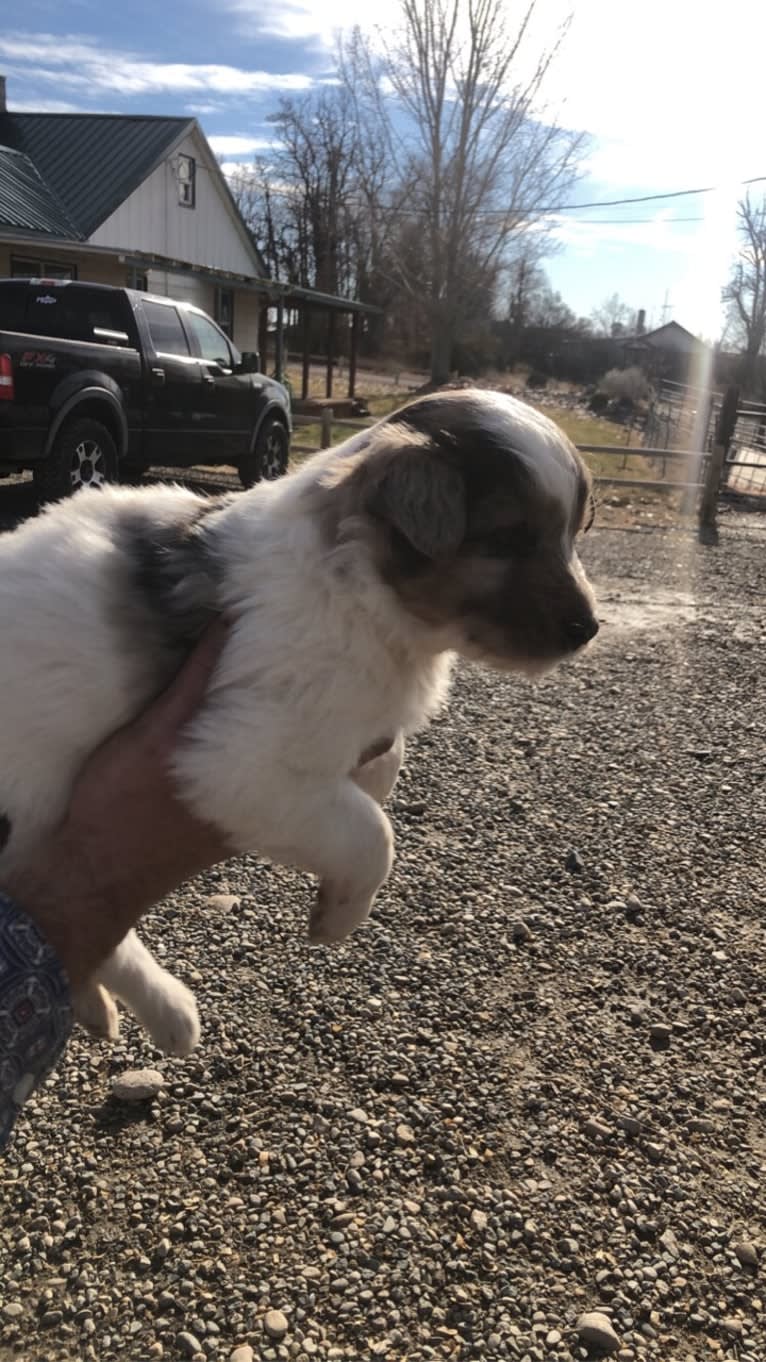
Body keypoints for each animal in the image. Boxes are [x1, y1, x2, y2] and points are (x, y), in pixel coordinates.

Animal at [0, 389, 596, 1056]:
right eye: (511, 538)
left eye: (573, 532)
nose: (588, 629)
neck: (357, 585)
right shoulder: (235, 764)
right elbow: (372, 835)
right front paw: (341, 914)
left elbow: (383, 765)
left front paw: (374, 779)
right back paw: (167, 1010)